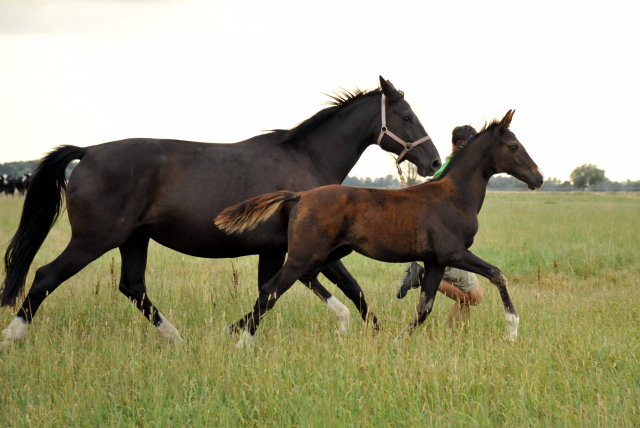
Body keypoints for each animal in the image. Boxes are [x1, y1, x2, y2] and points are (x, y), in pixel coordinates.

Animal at [216, 109, 544, 344]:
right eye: (514, 146)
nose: (539, 178)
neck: (453, 196)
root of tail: (301, 196)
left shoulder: (435, 261)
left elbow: (424, 308)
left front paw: (395, 342)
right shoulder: (454, 253)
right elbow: (497, 274)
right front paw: (512, 330)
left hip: (329, 253)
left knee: (305, 279)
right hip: (305, 255)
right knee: (271, 290)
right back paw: (243, 343)